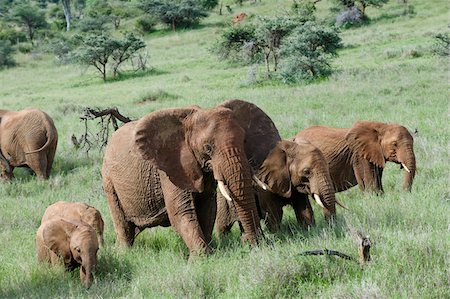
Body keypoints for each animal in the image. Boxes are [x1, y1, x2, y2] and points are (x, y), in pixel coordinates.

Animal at [102, 100, 278, 258]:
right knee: (123, 224)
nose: (255, 244)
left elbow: (208, 207)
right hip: (108, 180)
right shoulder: (170, 167)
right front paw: (201, 259)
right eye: (208, 148)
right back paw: (123, 253)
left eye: (244, 141)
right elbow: (181, 211)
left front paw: (209, 252)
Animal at [214, 139, 342, 236]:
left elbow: (305, 209)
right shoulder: (265, 187)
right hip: (224, 199)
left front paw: (308, 230)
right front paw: (278, 235)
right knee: (223, 225)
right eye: (306, 172)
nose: (332, 226)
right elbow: (274, 214)